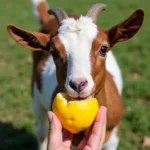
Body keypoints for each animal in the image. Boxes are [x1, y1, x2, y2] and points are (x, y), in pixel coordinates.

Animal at [6, 0, 144, 149]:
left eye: (103, 48)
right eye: (54, 52)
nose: (78, 84)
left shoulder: (114, 136)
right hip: (36, 97)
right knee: (41, 130)